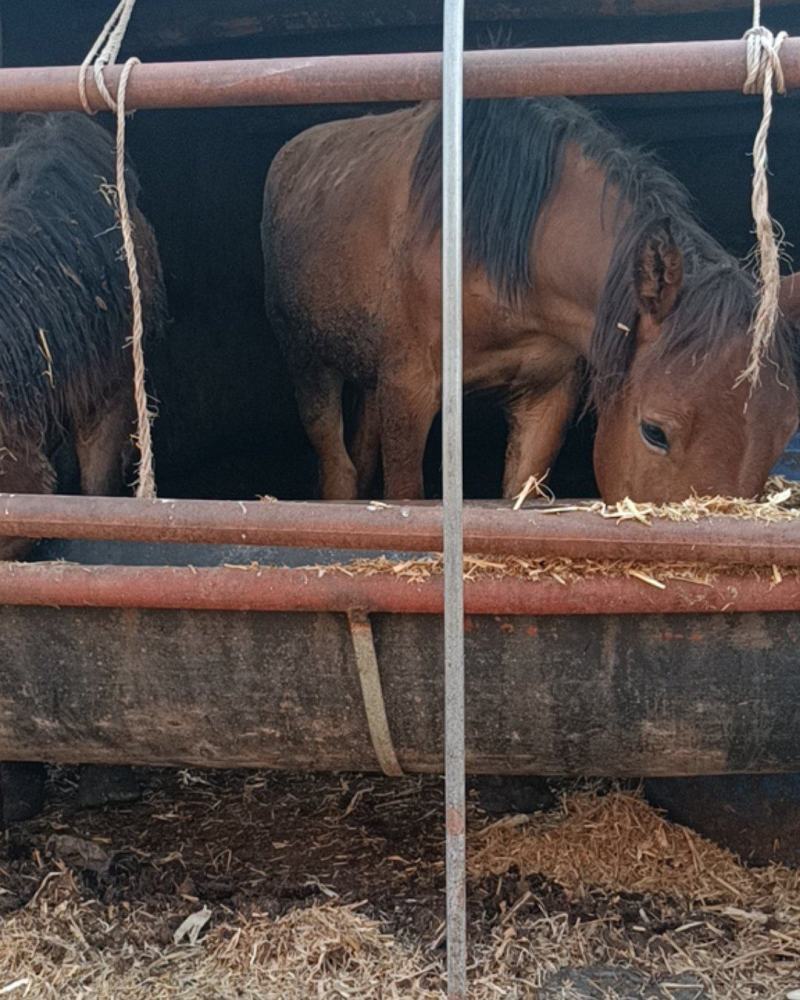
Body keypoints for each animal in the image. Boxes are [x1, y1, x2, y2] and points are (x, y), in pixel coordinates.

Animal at [262, 98, 798, 503]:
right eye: (654, 432)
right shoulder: (408, 388)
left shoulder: (546, 394)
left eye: (782, 437)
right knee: (339, 470)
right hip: (309, 363)